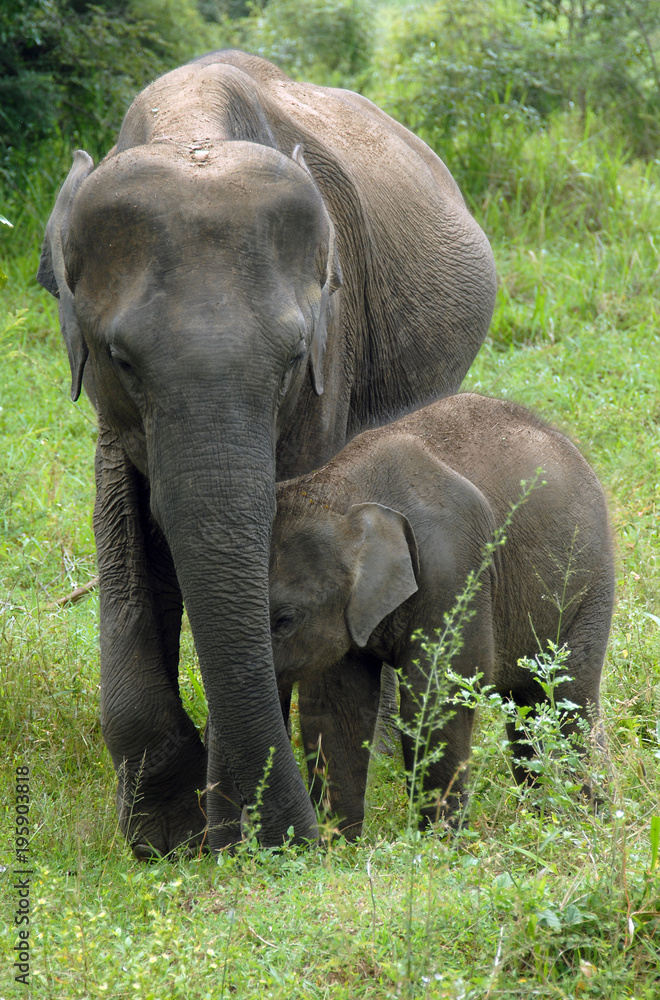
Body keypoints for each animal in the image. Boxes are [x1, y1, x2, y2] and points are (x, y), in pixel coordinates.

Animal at [37, 50, 496, 856]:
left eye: (291, 358)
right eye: (121, 359)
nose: (289, 841)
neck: (192, 125)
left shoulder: (332, 342)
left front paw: (239, 834)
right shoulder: (109, 410)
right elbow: (124, 529)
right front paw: (165, 838)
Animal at [270, 390, 612, 836]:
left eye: (285, 620)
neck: (344, 488)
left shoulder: (453, 562)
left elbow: (436, 692)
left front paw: (439, 842)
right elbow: (336, 704)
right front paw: (340, 845)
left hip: (592, 580)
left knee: (570, 697)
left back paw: (588, 819)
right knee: (529, 703)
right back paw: (545, 819)